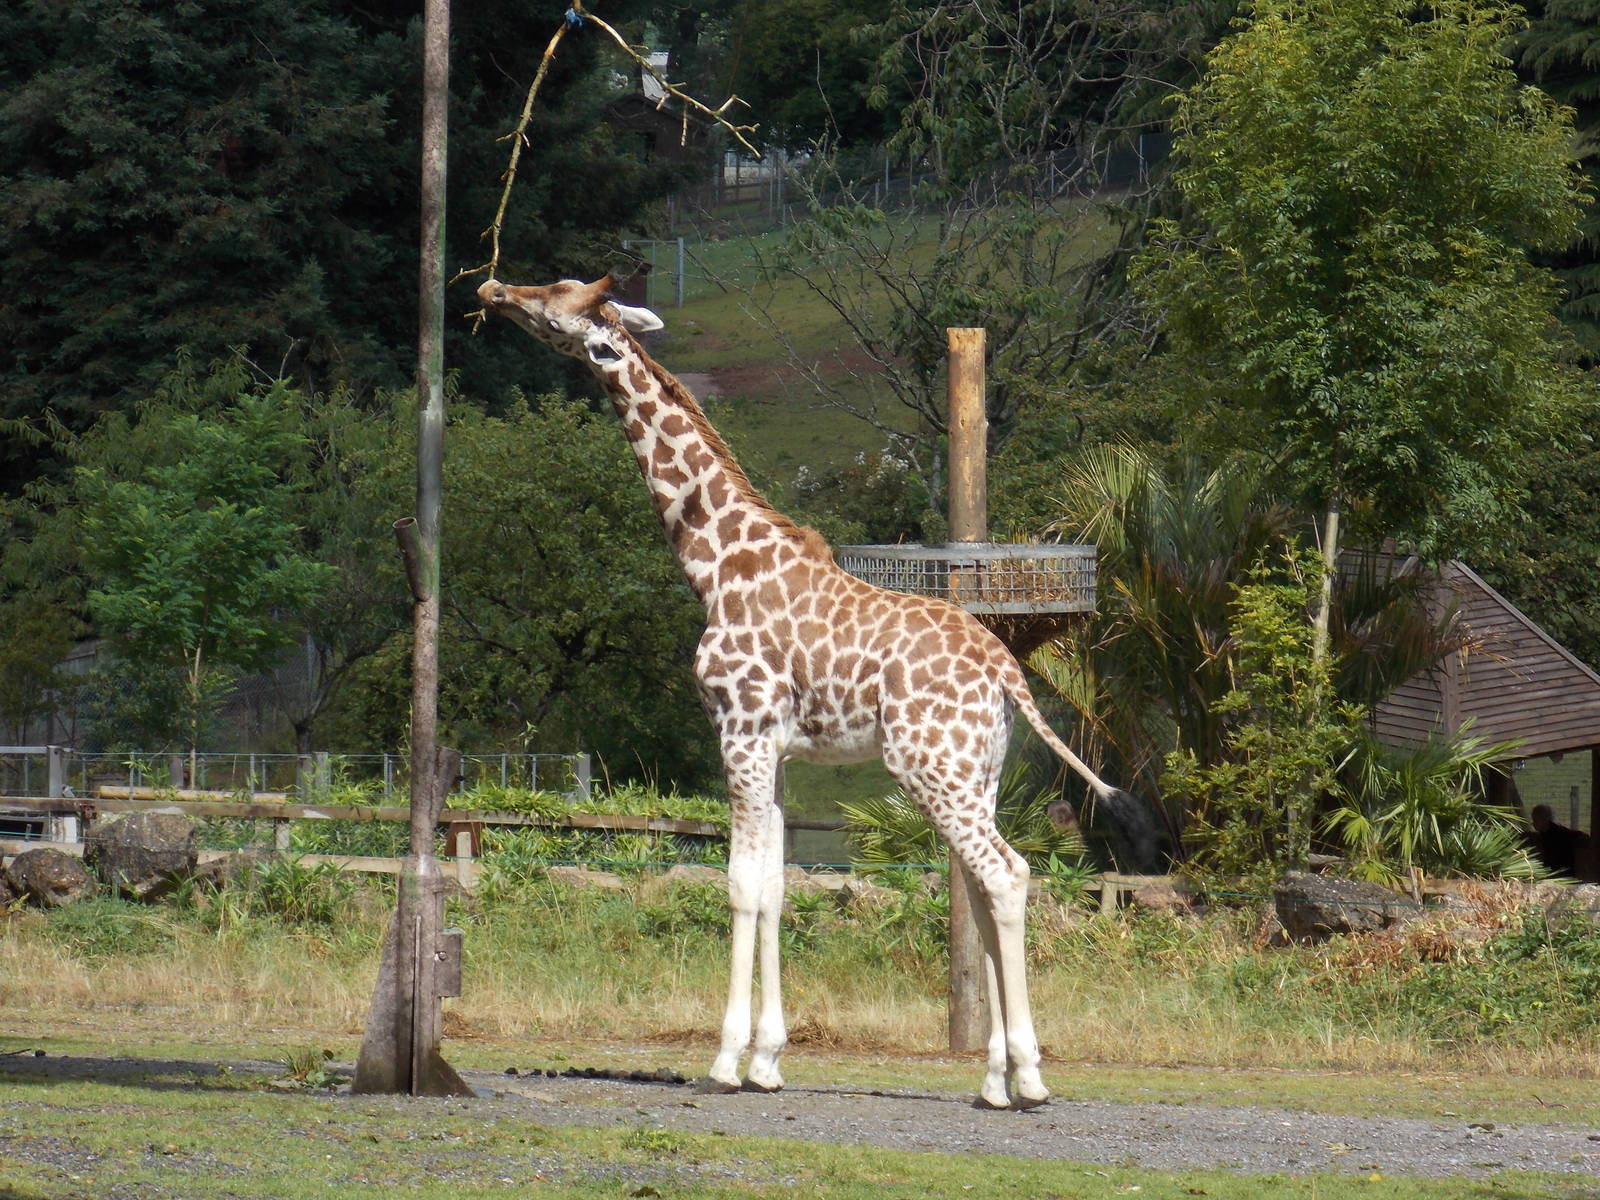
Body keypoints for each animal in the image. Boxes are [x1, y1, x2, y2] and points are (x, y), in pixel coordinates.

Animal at [477, 274, 1133, 1110]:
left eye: (556, 304)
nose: (496, 288)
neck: (714, 565)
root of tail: (1007, 672)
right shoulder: (777, 749)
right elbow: (776, 885)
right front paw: (769, 1059)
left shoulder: (739, 729)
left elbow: (738, 885)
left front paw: (728, 1059)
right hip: (978, 772)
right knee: (985, 890)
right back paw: (993, 1079)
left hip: (929, 768)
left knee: (1006, 875)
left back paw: (1030, 1078)